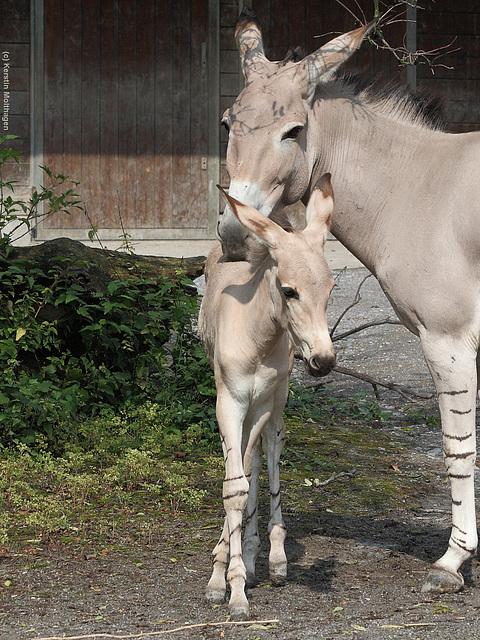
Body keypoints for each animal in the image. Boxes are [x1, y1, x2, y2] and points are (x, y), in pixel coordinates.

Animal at [197, 172, 336, 616]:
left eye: (331, 288)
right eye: (290, 291)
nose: (323, 361)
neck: (257, 336)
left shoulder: (259, 404)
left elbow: (247, 473)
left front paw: (235, 576)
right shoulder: (228, 402)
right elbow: (235, 485)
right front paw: (224, 580)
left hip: (276, 401)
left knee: (269, 453)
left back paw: (272, 559)